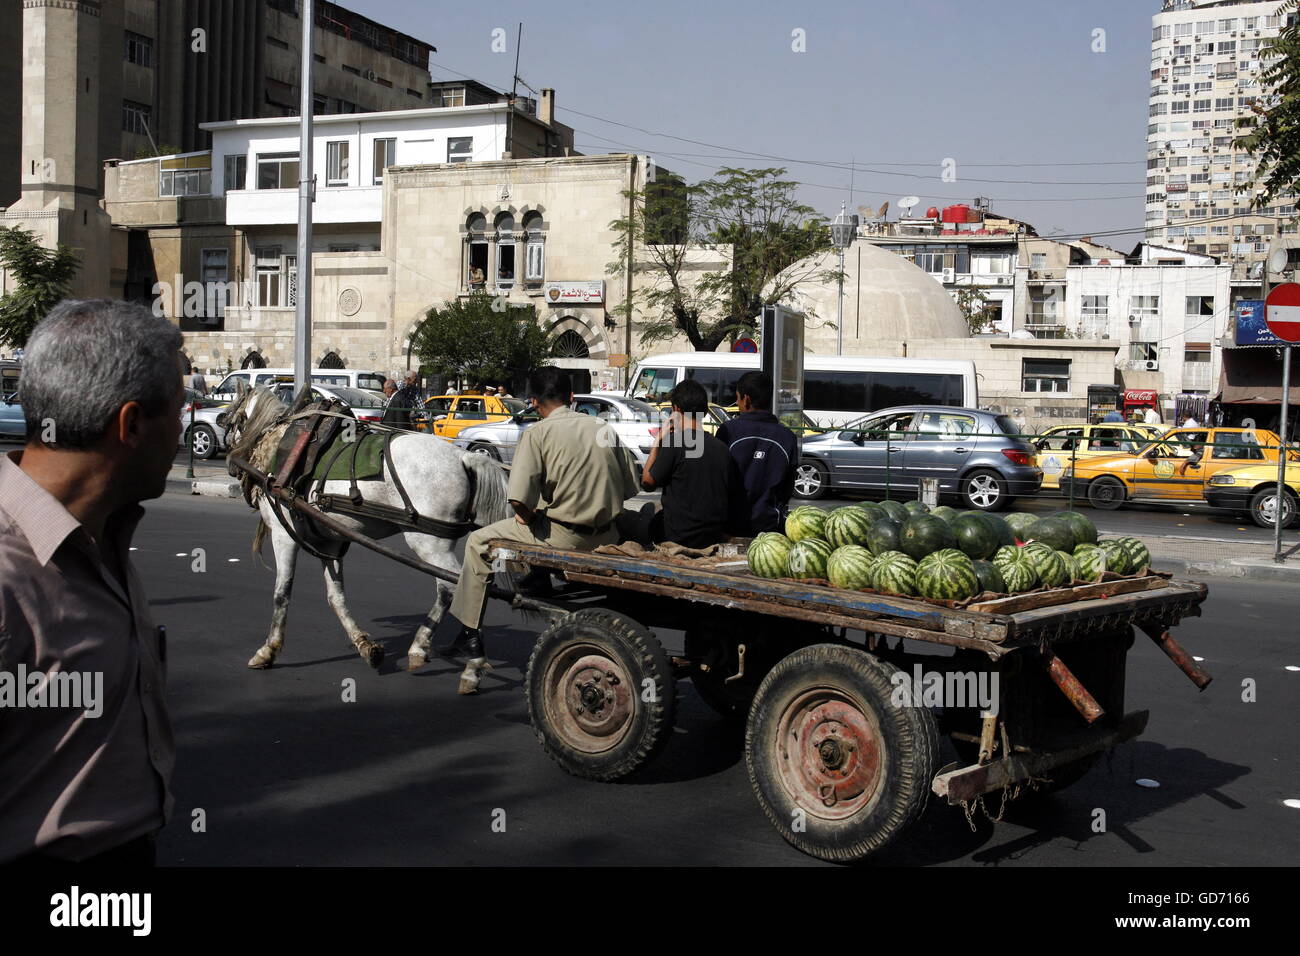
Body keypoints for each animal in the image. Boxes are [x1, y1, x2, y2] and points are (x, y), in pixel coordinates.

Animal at [220, 385, 509, 691]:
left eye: (231, 416)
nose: (230, 462)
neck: (277, 444)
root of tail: (464, 457)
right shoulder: (330, 541)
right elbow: (336, 597)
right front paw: (365, 645)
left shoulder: (282, 533)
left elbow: (281, 593)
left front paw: (269, 650)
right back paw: (458, 644)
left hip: (429, 542)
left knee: (452, 586)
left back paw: (459, 658)